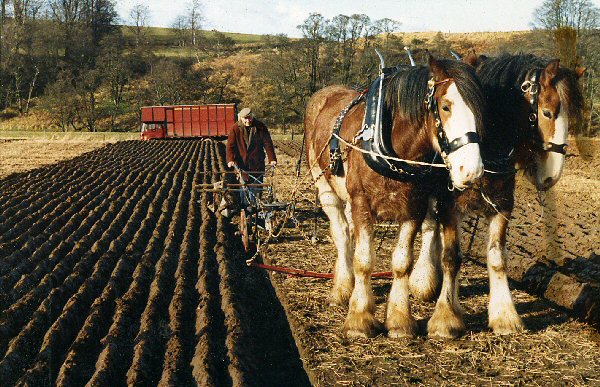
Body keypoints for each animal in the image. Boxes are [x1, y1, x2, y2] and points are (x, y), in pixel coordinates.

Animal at [304, 56, 488, 338]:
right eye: (445, 106)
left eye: (479, 110)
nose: (471, 171)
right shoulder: (361, 203)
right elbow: (364, 260)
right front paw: (360, 318)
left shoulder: (413, 207)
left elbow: (402, 263)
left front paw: (399, 320)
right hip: (325, 186)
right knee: (341, 234)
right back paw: (343, 288)